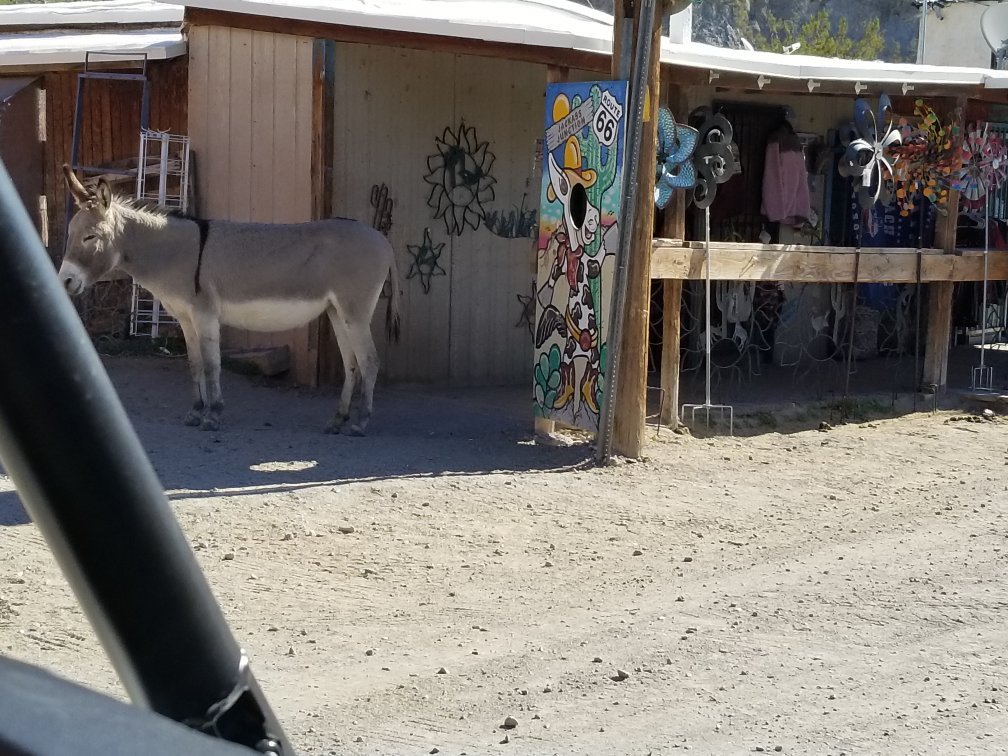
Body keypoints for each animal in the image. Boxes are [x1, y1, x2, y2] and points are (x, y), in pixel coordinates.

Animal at [58, 165, 402, 435]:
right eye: (71, 234)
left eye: (91, 237)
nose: (65, 282)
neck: (176, 253)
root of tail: (384, 240)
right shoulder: (185, 318)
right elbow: (194, 364)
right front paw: (196, 412)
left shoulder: (205, 314)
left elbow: (212, 365)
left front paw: (213, 415)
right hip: (336, 311)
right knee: (352, 363)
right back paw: (338, 420)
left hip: (355, 311)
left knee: (369, 361)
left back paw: (360, 423)